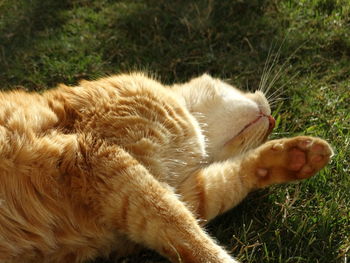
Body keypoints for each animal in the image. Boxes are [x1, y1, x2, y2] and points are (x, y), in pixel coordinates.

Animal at [0, 72, 330, 263]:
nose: (272, 121)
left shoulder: (175, 193)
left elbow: (224, 184)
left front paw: (293, 156)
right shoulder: (97, 160)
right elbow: (190, 235)